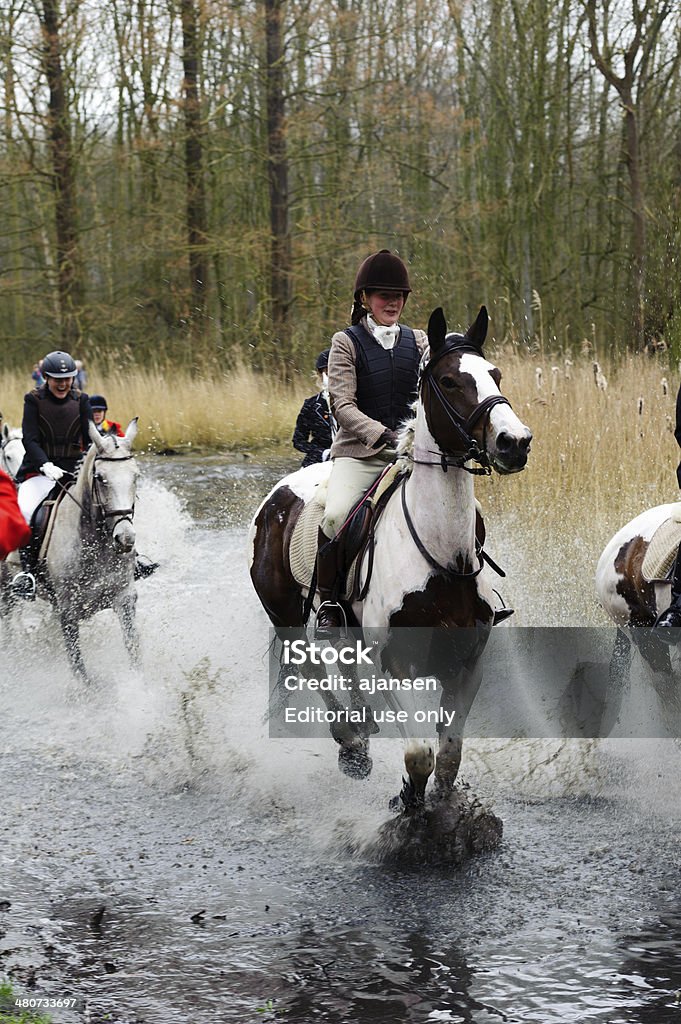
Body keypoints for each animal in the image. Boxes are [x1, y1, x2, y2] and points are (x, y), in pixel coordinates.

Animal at [248, 303, 532, 798]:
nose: (514, 442)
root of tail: (277, 497)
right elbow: (419, 756)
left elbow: (450, 756)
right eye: (451, 381)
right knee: (313, 668)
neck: (441, 561)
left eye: (495, 374)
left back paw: (361, 725)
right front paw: (411, 806)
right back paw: (350, 744)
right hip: (284, 614)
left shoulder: (467, 665)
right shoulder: (397, 667)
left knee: (342, 658)